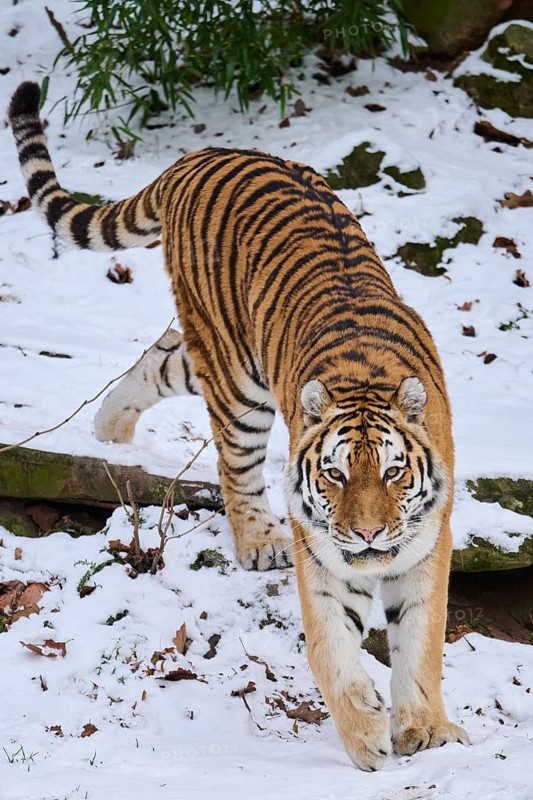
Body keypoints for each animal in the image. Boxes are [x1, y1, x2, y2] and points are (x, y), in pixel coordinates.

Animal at [8, 81, 469, 771]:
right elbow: (330, 645)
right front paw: (365, 734)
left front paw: (427, 730)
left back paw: (110, 427)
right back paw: (255, 539)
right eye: (334, 475)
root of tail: (201, 155)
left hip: (216, 358)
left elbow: (420, 643)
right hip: (237, 377)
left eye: (393, 472)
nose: (365, 534)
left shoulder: (425, 546)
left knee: (156, 360)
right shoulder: (323, 553)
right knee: (232, 462)